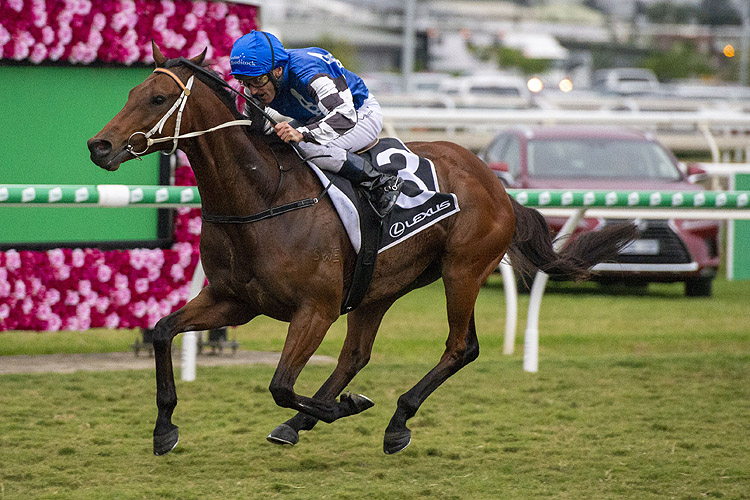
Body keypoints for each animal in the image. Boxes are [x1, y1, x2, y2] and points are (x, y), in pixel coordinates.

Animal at [89, 47, 640, 458]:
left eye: (158, 97)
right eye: (131, 92)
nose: (100, 146)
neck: (263, 196)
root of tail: (496, 184)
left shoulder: (314, 309)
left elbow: (281, 384)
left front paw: (347, 408)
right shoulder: (234, 301)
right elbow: (163, 332)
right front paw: (164, 428)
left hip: (463, 270)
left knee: (459, 347)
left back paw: (396, 421)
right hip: (380, 286)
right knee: (356, 354)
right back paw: (301, 425)